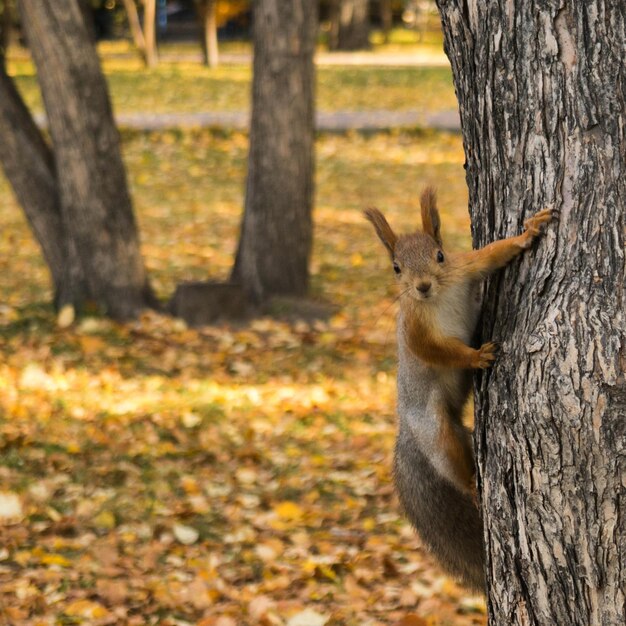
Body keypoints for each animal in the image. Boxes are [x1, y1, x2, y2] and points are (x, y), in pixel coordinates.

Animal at [366, 186, 552, 588]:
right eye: (396, 268)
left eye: (439, 255)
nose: (421, 286)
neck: (437, 297)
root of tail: (407, 432)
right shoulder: (415, 330)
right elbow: (438, 351)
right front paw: (477, 357)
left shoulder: (466, 268)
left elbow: (495, 253)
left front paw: (530, 231)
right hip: (435, 430)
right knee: (451, 460)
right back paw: (470, 484)